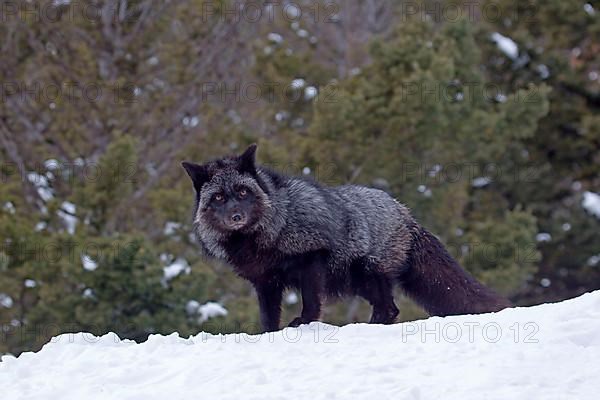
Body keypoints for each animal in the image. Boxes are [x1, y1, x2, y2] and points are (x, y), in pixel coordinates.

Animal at [180, 144, 508, 332]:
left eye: (243, 192)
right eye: (219, 197)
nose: (236, 216)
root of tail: (404, 212)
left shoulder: (312, 259)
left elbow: (311, 303)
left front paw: (303, 324)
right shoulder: (265, 281)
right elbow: (268, 316)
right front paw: (270, 335)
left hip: (366, 271)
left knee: (389, 308)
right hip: (357, 281)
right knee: (390, 309)